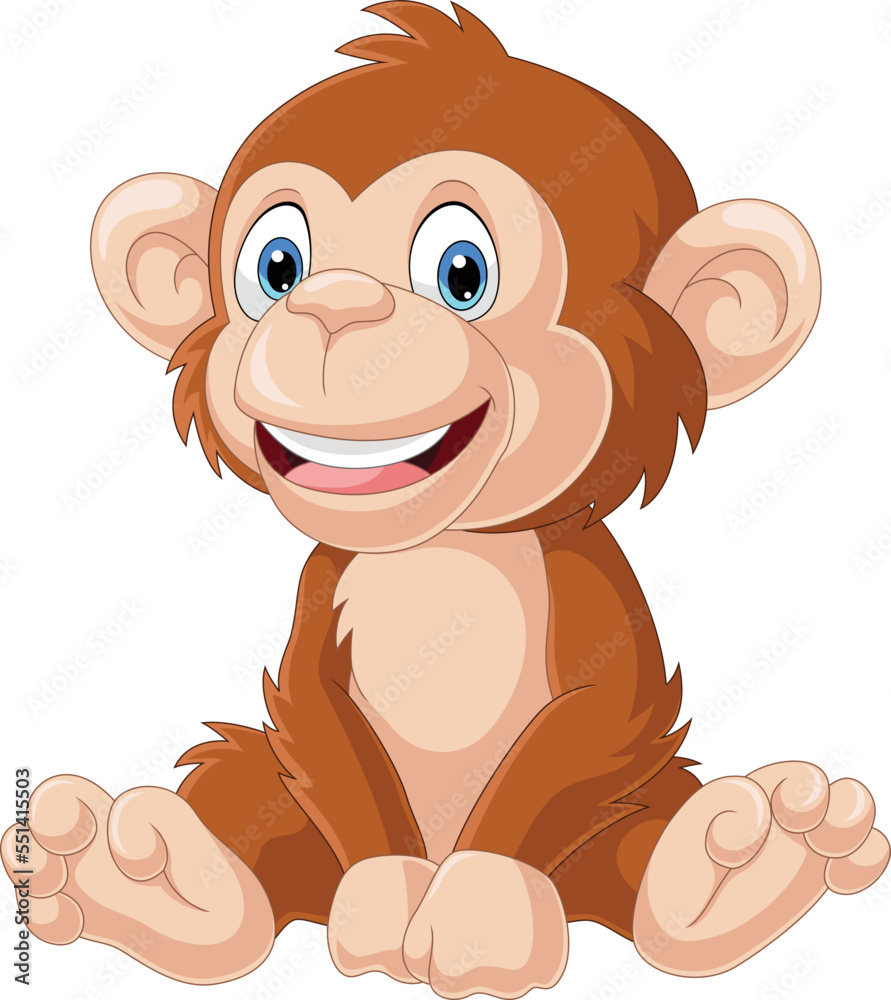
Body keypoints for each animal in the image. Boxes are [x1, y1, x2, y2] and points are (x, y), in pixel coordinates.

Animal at [4, 4, 887, 997]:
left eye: (462, 271)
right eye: (277, 264)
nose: (334, 306)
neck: (446, 554)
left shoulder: (586, 588)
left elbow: (593, 713)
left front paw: (478, 912)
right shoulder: (324, 594)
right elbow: (320, 713)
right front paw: (383, 896)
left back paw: (732, 872)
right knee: (256, 798)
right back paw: (152, 881)